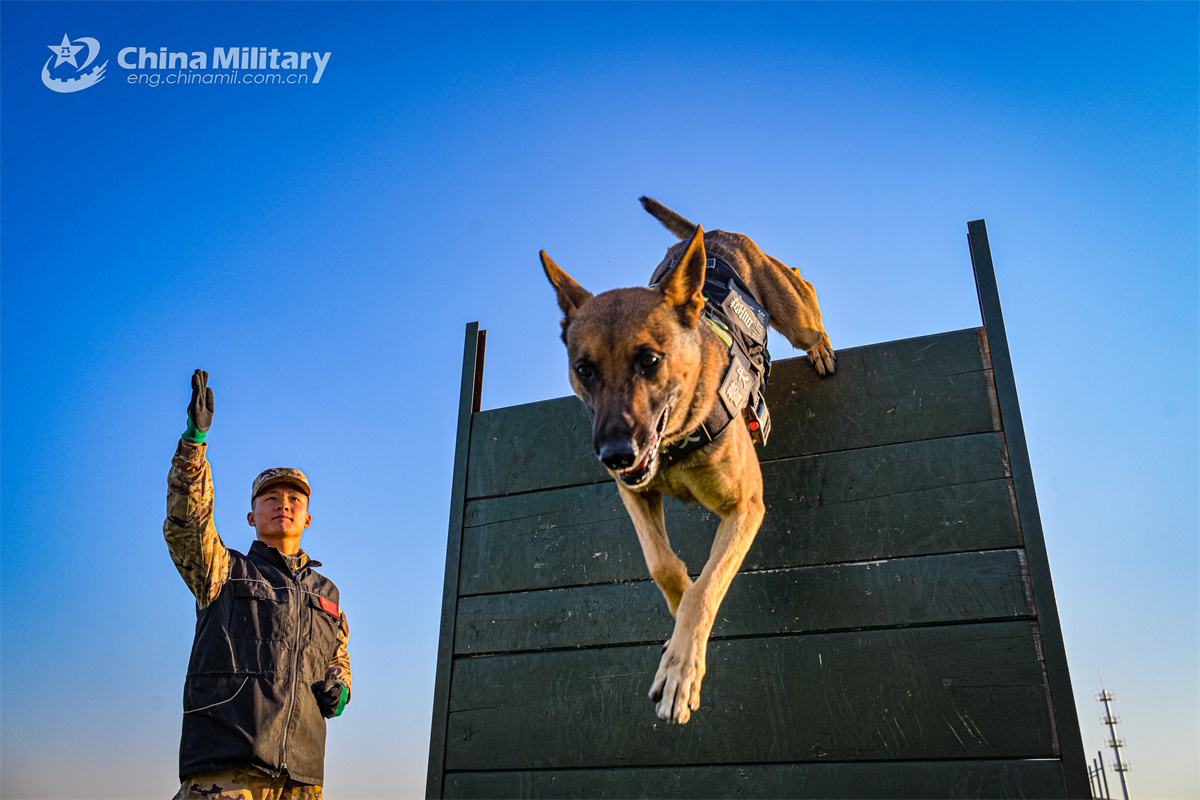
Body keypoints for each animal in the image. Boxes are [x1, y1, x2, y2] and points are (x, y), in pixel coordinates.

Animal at [544, 195, 835, 724]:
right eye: (584, 369)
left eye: (649, 360)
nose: (615, 456)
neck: (675, 438)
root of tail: (714, 233)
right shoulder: (635, 494)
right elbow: (662, 565)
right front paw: (677, 632)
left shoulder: (745, 507)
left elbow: (705, 589)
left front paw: (682, 669)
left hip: (796, 312)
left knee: (805, 288)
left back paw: (821, 348)